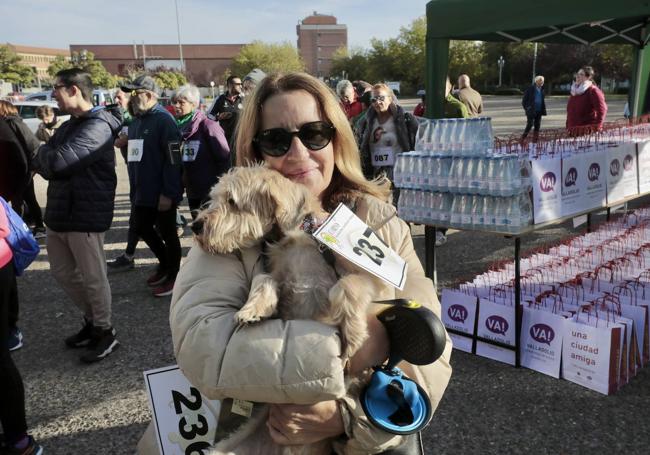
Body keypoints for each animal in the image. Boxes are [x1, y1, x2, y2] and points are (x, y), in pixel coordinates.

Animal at [195, 167, 380, 455]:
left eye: (232, 201)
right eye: (214, 198)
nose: (196, 225)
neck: (297, 235)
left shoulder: (362, 277)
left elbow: (346, 287)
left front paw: (353, 338)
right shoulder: (278, 283)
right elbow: (264, 279)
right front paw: (252, 310)